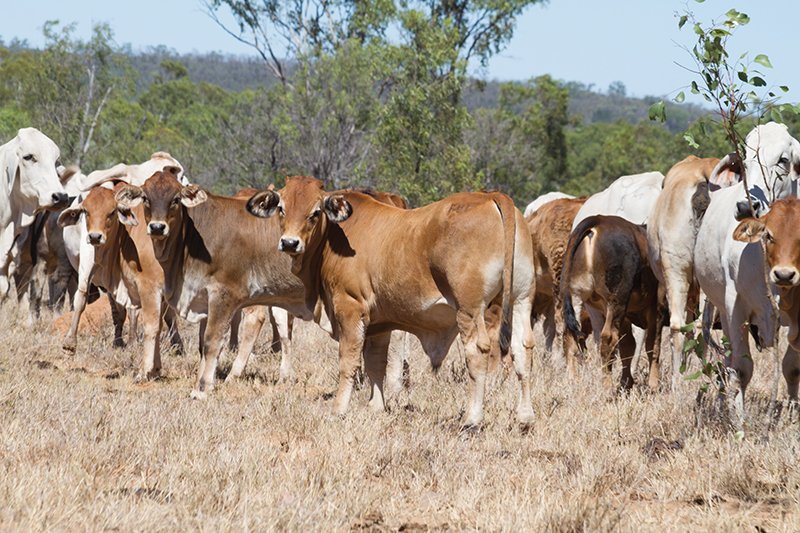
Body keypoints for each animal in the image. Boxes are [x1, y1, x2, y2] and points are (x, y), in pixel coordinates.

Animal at [247, 177, 536, 426]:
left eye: (315, 212)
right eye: (281, 208)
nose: (289, 243)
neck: (334, 235)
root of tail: (491, 197)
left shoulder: (350, 308)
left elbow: (348, 362)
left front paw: (339, 409)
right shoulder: (379, 323)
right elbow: (376, 363)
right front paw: (376, 406)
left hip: (470, 310)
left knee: (477, 352)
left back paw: (472, 419)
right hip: (521, 300)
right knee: (522, 350)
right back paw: (525, 417)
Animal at [560, 213, 660, 390]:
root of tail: (598, 220)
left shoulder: (627, 315)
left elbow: (628, 346)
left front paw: (627, 382)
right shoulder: (655, 307)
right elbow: (652, 344)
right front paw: (654, 384)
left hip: (576, 296)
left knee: (570, 337)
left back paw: (571, 380)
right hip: (616, 300)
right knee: (608, 338)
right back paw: (607, 386)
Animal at [692, 122, 800, 430]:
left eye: (783, 160)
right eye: (745, 160)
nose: (745, 207)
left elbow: (792, 368)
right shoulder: (735, 306)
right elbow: (741, 368)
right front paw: (739, 425)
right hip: (717, 310)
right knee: (724, 364)